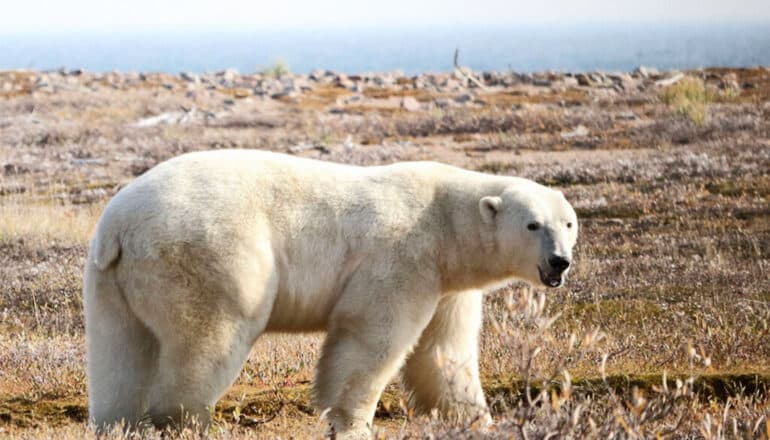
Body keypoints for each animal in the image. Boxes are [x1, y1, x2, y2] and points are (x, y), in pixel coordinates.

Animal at [84, 150, 576, 438]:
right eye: (533, 224)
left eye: (568, 223)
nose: (559, 262)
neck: (444, 220)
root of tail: (120, 226)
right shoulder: (402, 257)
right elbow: (371, 339)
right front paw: (352, 424)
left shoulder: (448, 284)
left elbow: (444, 352)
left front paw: (477, 420)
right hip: (208, 256)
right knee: (208, 338)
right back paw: (189, 422)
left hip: (111, 281)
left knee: (120, 353)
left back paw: (117, 424)